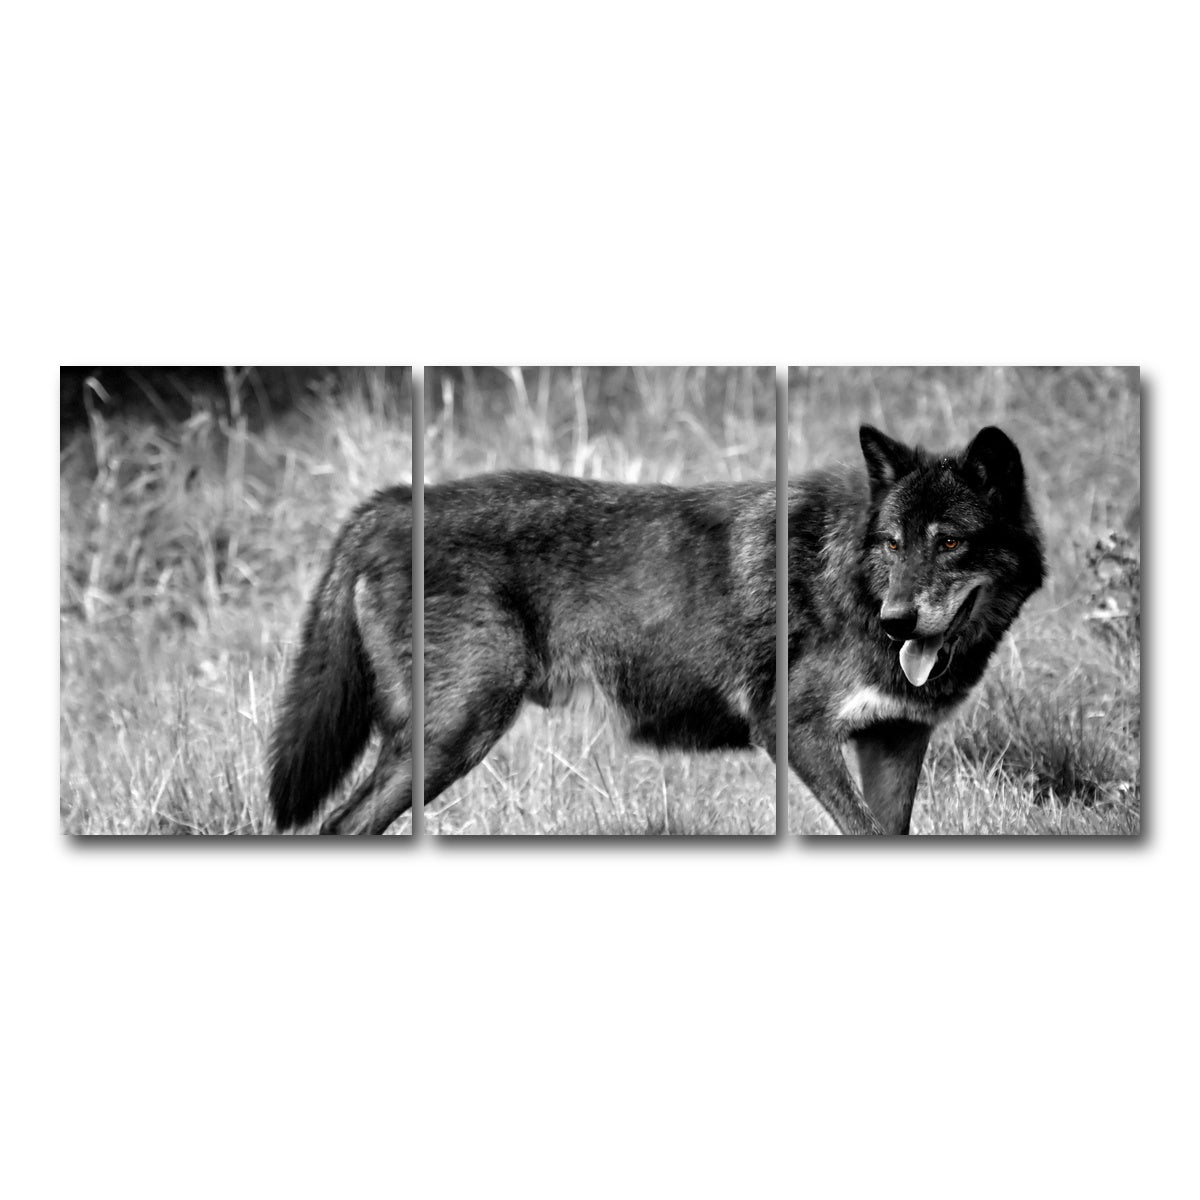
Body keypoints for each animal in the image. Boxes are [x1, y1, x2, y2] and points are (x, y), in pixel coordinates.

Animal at [789, 425, 1045, 834]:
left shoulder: (897, 733)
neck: (856, 594)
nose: (894, 622)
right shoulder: (798, 729)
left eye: (949, 542)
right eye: (893, 544)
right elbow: (865, 826)